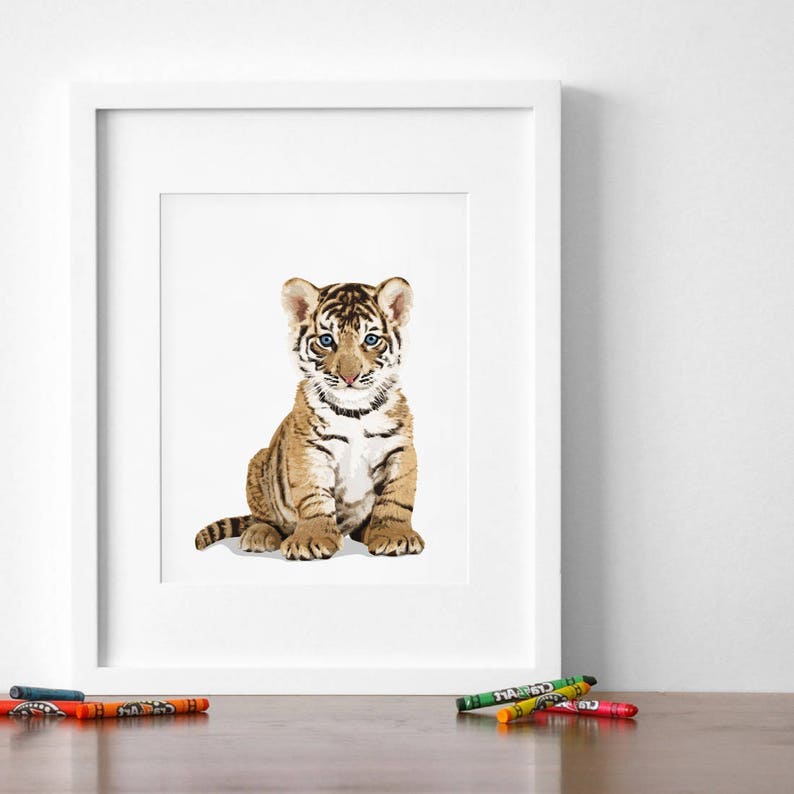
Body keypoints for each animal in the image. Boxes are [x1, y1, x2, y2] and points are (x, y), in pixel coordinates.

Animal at [194, 276, 425, 561]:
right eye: (326, 340)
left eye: (371, 339)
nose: (349, 376)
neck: (355, 411)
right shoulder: (308, 449)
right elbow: (314, 497)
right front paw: (312, 539)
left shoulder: (400, 448)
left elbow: (397, 496)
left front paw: (395, 535)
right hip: (257, 462)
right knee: (265, 518)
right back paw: (259, 535)